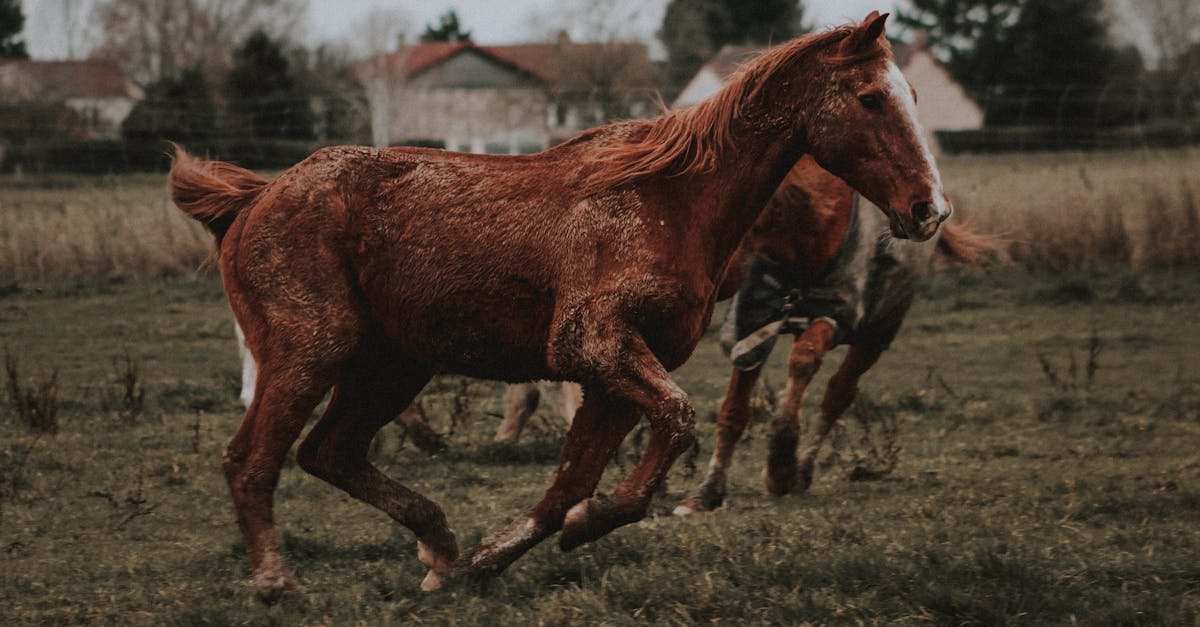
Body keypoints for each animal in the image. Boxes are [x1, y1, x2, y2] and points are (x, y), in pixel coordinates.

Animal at [166, 13, 945, 600]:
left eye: (912, 92)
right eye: (871, 97)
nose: (929, 210)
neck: (667, 201)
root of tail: (256, 197)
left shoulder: (619, 374)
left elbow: (576, 477)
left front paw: (504, 552)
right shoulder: (593, 346)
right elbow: (674, 424)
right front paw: (578, 526)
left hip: (390, 366)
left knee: (329, 452)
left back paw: (441, 551)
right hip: (311, 350)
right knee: (252, 459)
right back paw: (278, 584)